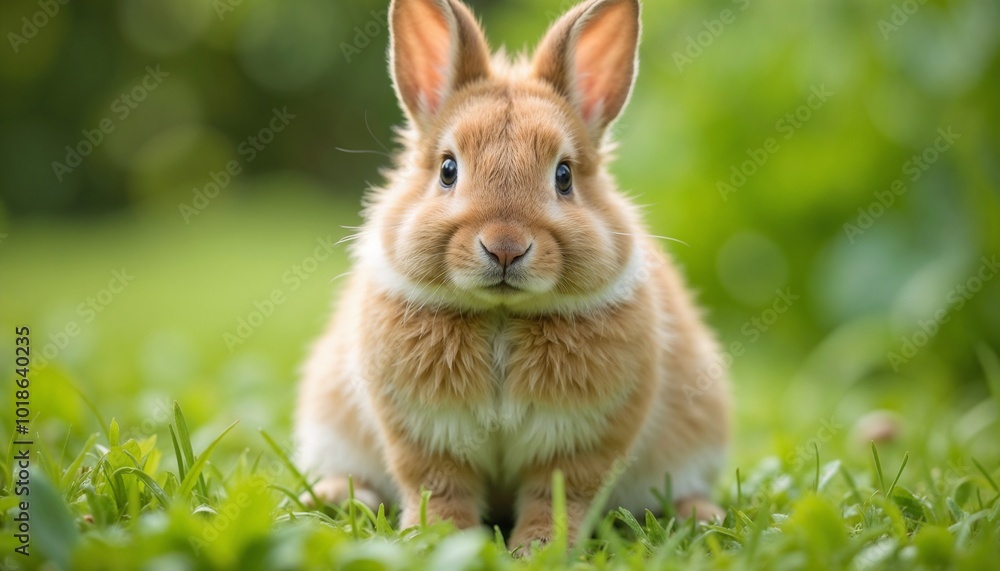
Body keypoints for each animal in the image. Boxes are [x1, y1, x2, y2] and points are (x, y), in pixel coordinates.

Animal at [295, 0, 730, 552]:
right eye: (448, 170)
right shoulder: (426, 435)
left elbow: (559, 496)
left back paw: (702, 515)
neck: (501, 313)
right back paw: (335, 497)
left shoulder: (580, 442)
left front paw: (539, 550)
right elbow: (440, 489)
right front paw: (440, 540)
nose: (505, 247)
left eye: (564, 176)